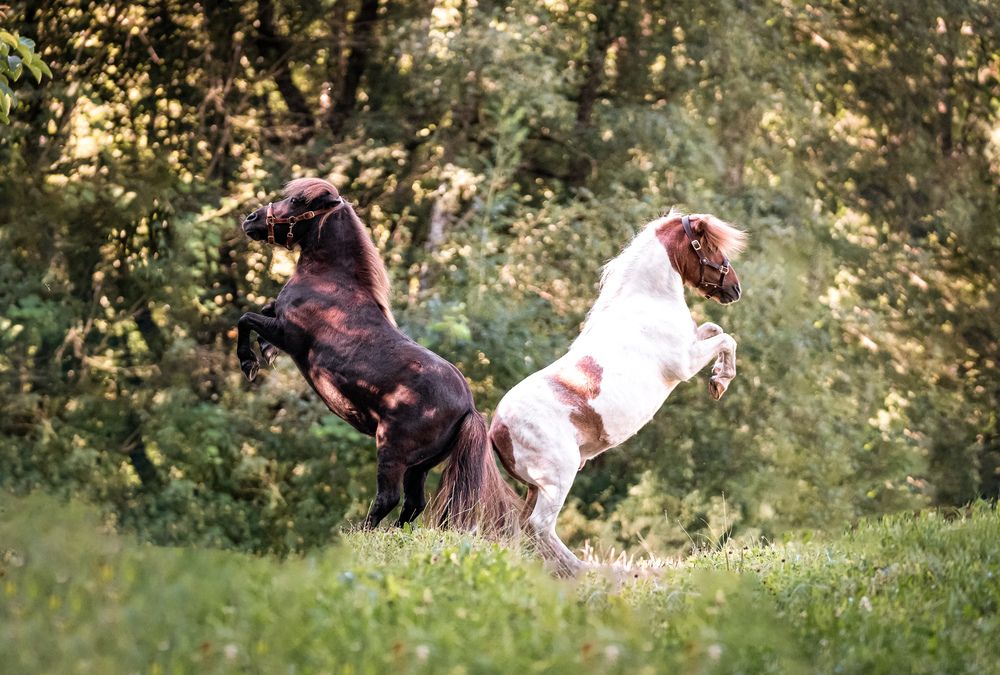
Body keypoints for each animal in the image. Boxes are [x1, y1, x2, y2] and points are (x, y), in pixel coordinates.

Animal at [237, 178, 520, 531]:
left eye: (298, 200)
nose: (251, 219)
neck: (329, 283)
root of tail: (468, 407)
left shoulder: (289, 335)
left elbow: (245, 318)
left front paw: (249, 361)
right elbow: (262, 311)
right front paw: (264, 351)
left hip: (391, 452)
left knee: (389, 498)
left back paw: (361, 532)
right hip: (419, 466)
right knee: (413, 503)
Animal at [488, 211, 746, 574]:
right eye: (710, 246)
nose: (734, 289)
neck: (647, 303)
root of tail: (497, 428)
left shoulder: (694, 341)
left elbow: (715, 329)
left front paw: (718, 376)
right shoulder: (685, 363)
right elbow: (727, 339)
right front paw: (719, 382)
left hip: (535, 488)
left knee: (526, 527)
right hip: (557, 479)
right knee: (540, 526)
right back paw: (585, 570)